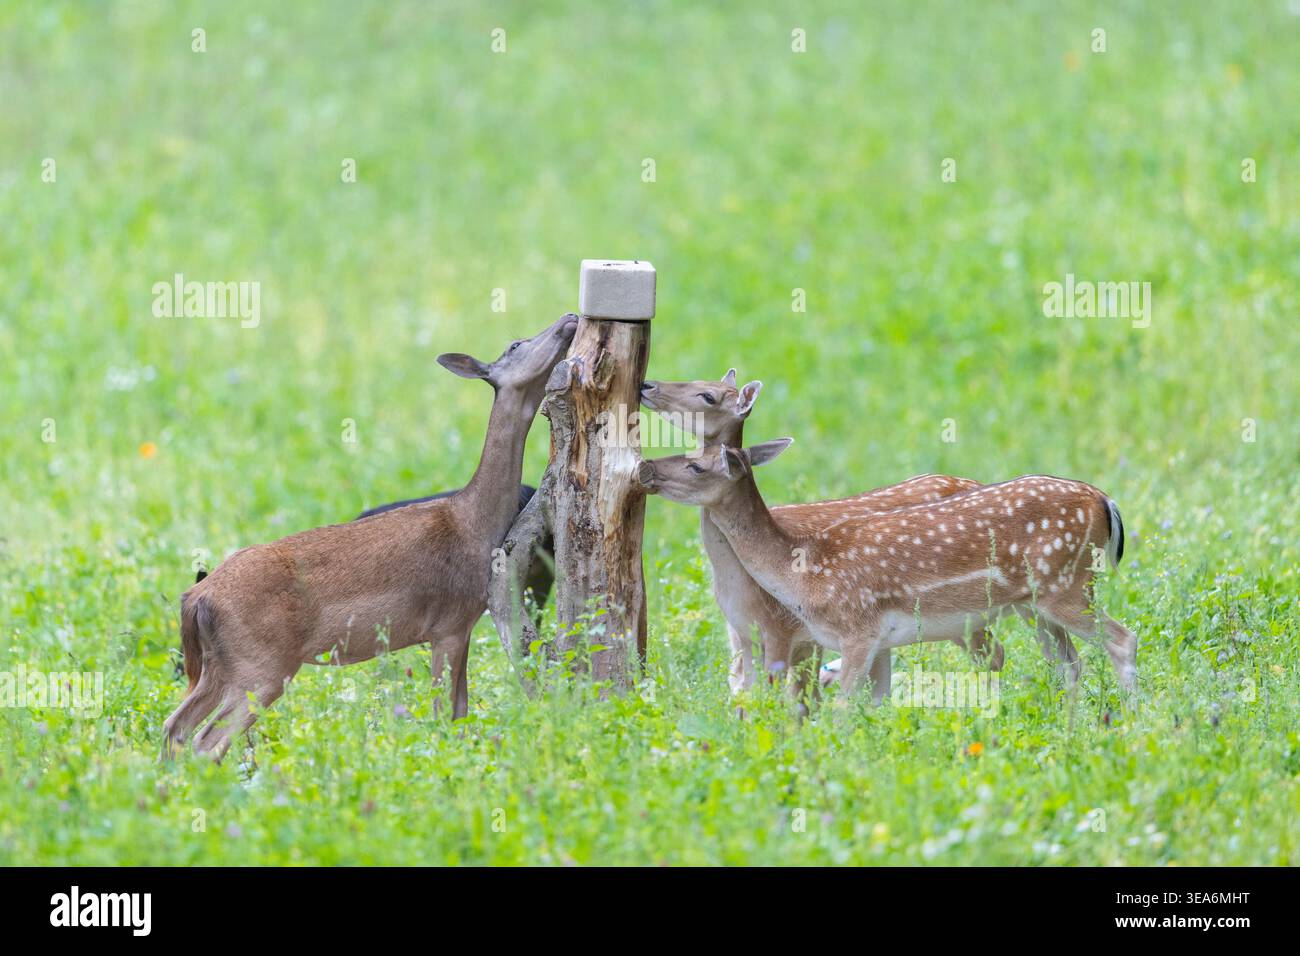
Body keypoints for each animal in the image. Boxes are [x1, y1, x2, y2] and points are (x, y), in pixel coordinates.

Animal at [162, 313, 579, 760]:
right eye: (516, 344)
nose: (568, 318)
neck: (473, 524)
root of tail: (197, 597)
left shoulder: (462, 624)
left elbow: (460, 711)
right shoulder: (449, 621)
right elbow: (445, 712)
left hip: (220, 664)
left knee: (175, 725)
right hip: (260, 662)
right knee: (206, 740)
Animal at [637, 440, 1136, 702]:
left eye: (695, 465)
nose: (646, 468)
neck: (802, 571)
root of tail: (1105, 501)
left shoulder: (854, 630)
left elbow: (838, 709)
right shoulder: (873, 640)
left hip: (1065, 586)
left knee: (1122, 639)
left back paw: (1129, 720)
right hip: (1034, 603)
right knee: (1066, 663)